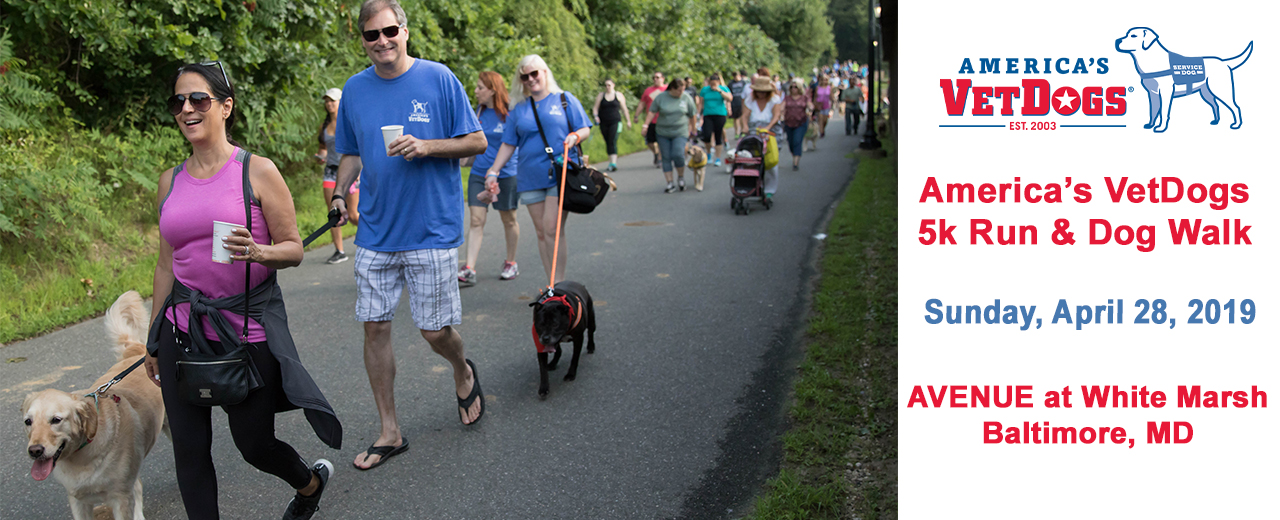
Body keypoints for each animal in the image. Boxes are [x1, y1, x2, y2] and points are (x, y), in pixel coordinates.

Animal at [23, 292, 167, 520]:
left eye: (56, 420)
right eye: (28, 422)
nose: (35, 451)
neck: (82, 456)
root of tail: (135, 351)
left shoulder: (120, 497)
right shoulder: (78, 500)